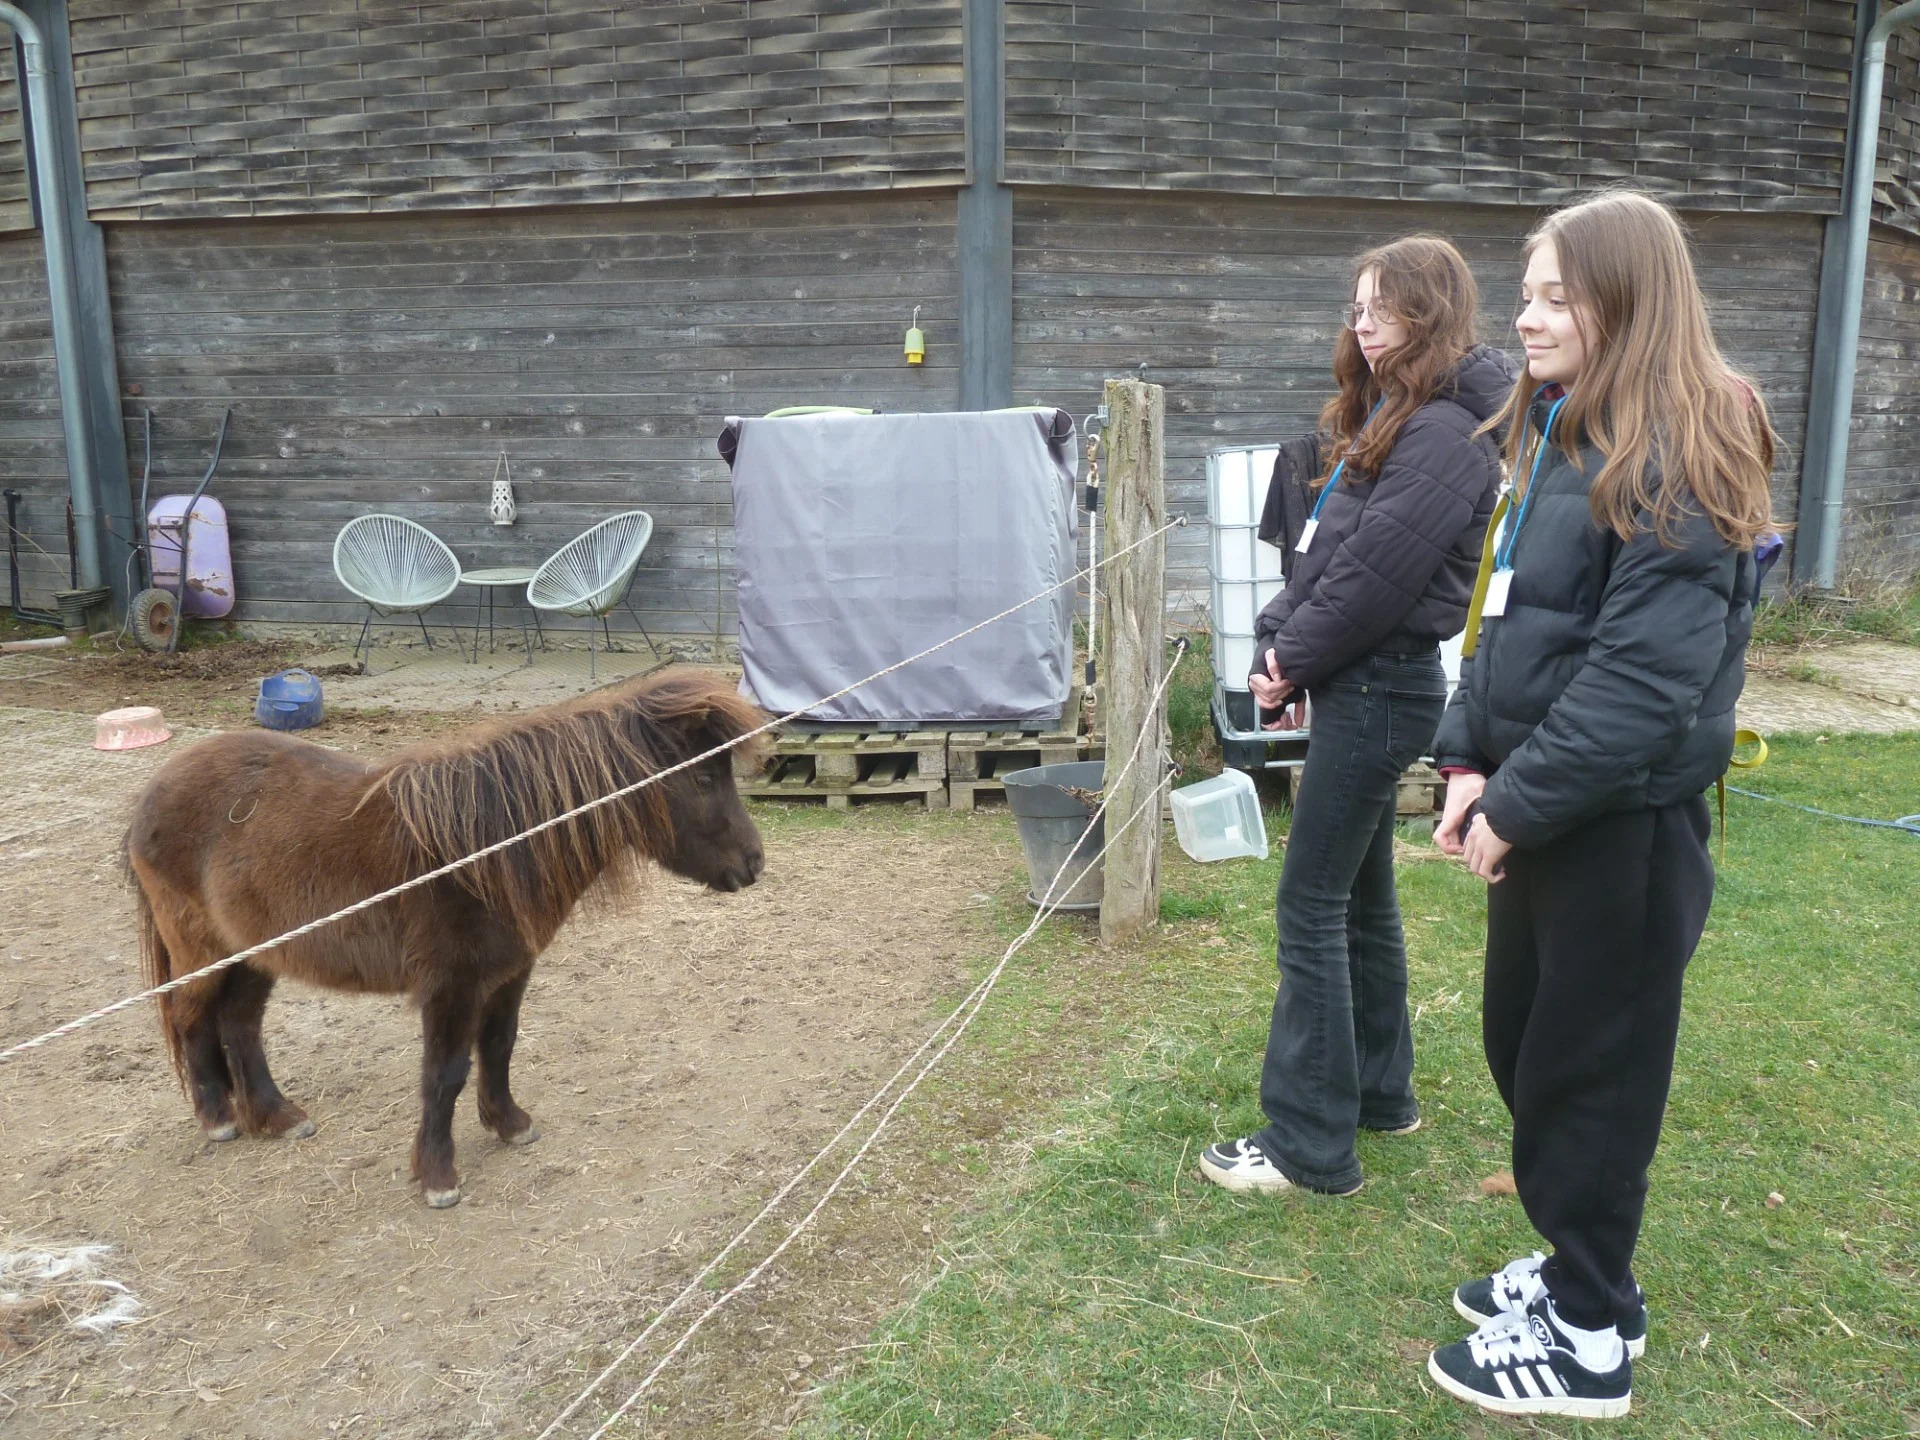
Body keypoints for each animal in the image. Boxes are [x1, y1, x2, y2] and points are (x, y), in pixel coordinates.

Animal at [125, 667, 768, 1208]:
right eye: (704, 776)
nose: (754, 864)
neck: (484, 852)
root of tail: (153, 790)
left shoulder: (510, 973)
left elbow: (500, 1045)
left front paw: (509, 1124)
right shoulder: (450, 986)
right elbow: (445, 1072)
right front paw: (438, 1176)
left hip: (256, 952)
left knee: (239, 1024)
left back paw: (277, 1116)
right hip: (203, 950)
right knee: (191, 1018)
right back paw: (218, 1118)